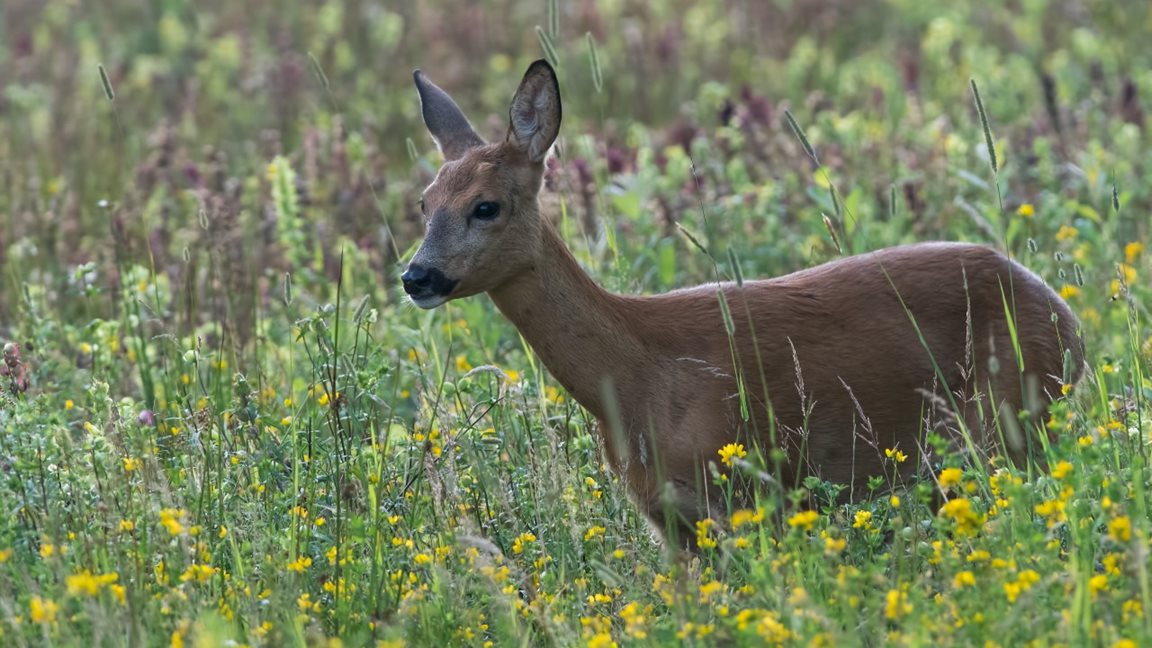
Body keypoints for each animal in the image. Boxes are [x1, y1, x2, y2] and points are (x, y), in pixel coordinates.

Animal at [403, 59, 1078, 544]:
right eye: (424, 201)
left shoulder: (741, 491)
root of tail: (1067, 317)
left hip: (1010, 424)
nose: (417, 276)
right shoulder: (667, 519)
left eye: (486, 205)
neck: (640, 376)